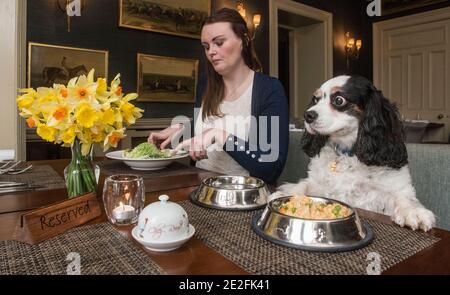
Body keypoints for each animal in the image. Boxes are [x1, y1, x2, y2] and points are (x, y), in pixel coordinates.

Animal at [278, 75, 436, 232]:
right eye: (316, 100)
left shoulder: (394, 189)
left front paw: (414, 212)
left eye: (338, 100)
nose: (307, 115)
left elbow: (405, 198)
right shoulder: (318, 184)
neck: (347, 153)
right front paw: (285, 193)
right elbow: (304, 185)